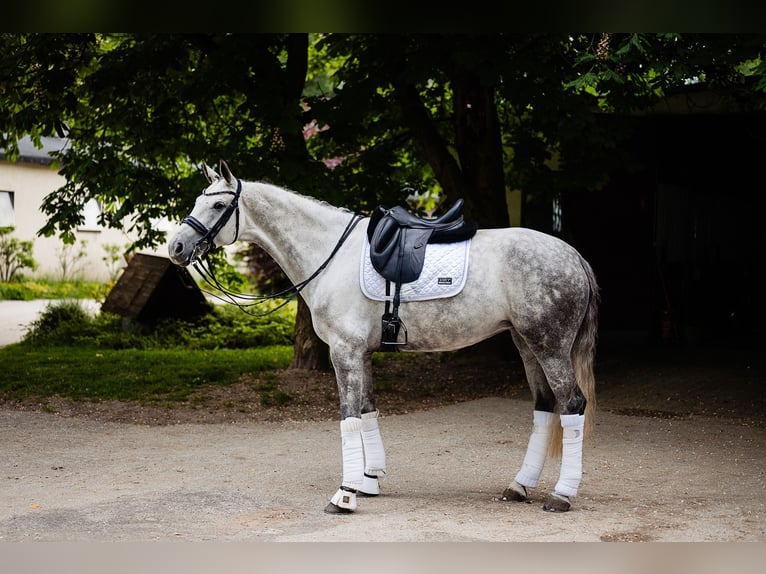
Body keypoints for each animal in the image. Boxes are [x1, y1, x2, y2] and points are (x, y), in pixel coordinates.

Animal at [168, 160, 600, 514]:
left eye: (218, 206)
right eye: (198, 200)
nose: (176, 246)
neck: (330, 254)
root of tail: (573, 255)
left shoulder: (344, 352)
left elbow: (347, 419)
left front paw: (344, 494)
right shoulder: (361, 354)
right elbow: (368, 412)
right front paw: (369, 480)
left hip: (549, 346)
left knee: (572, 404)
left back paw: (562, 494)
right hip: (526, 345)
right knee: (544, 407)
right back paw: (519, 486)